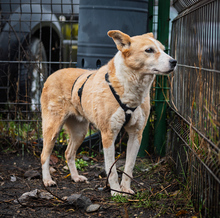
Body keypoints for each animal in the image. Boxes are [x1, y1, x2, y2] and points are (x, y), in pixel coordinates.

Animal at [40, 30, 177, 196]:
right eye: (149, 50)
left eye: (163, 49)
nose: (174, 62)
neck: (129, 89)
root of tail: (53, 74)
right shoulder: (108, 134)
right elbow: (111, 170)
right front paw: (116, 192)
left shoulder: (136, 134)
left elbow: (129, 167)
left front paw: (126, 189)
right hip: (52, 128)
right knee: (44, 155)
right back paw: (47, 180)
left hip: (80, 131)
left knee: (68, 153)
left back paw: (75, 177)